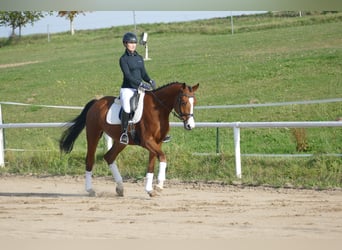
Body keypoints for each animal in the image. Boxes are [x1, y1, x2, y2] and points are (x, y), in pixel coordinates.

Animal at [58, 82, 198, 197]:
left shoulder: (157, 143)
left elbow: (151, 165)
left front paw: (150, 190)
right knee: (90, 160)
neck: (158, 109)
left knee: (109, 157)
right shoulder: (147, 141)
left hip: (120, 141)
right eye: (183, 102)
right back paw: (90, 190)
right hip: (93, 134)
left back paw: (120, 188)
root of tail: (97, 102)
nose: (190, 126)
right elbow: (163, 157)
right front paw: (159, 186)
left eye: (194, 103)